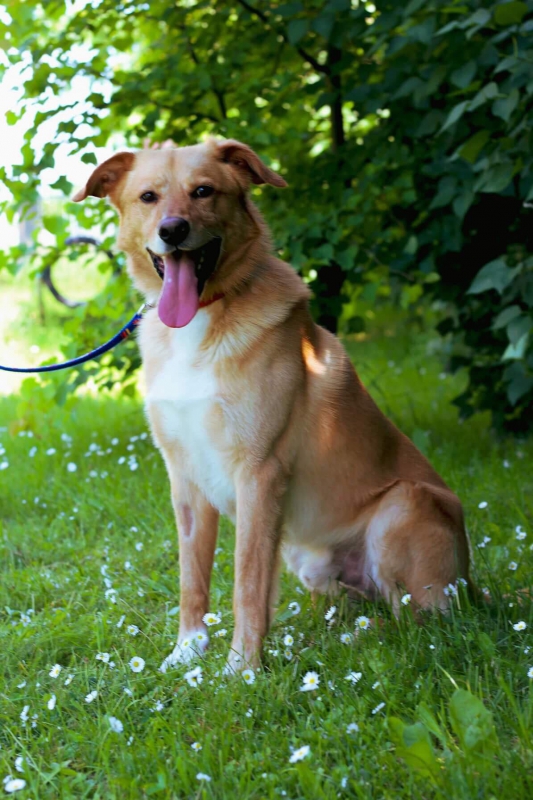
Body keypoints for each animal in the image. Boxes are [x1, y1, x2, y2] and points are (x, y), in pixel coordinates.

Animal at [73, 138, 471, 672]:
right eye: (148, 196)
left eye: (204, 191)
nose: (172, 231)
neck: (200, 322)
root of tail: (474, 587)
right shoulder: (185, 481)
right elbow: (192, 579)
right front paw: (187, 652)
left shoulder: (259, 475)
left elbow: (247, 582)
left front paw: (241, 669)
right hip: (309, 560)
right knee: (370, 609)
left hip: (405, 505)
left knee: (424, 623)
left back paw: (361, 641)